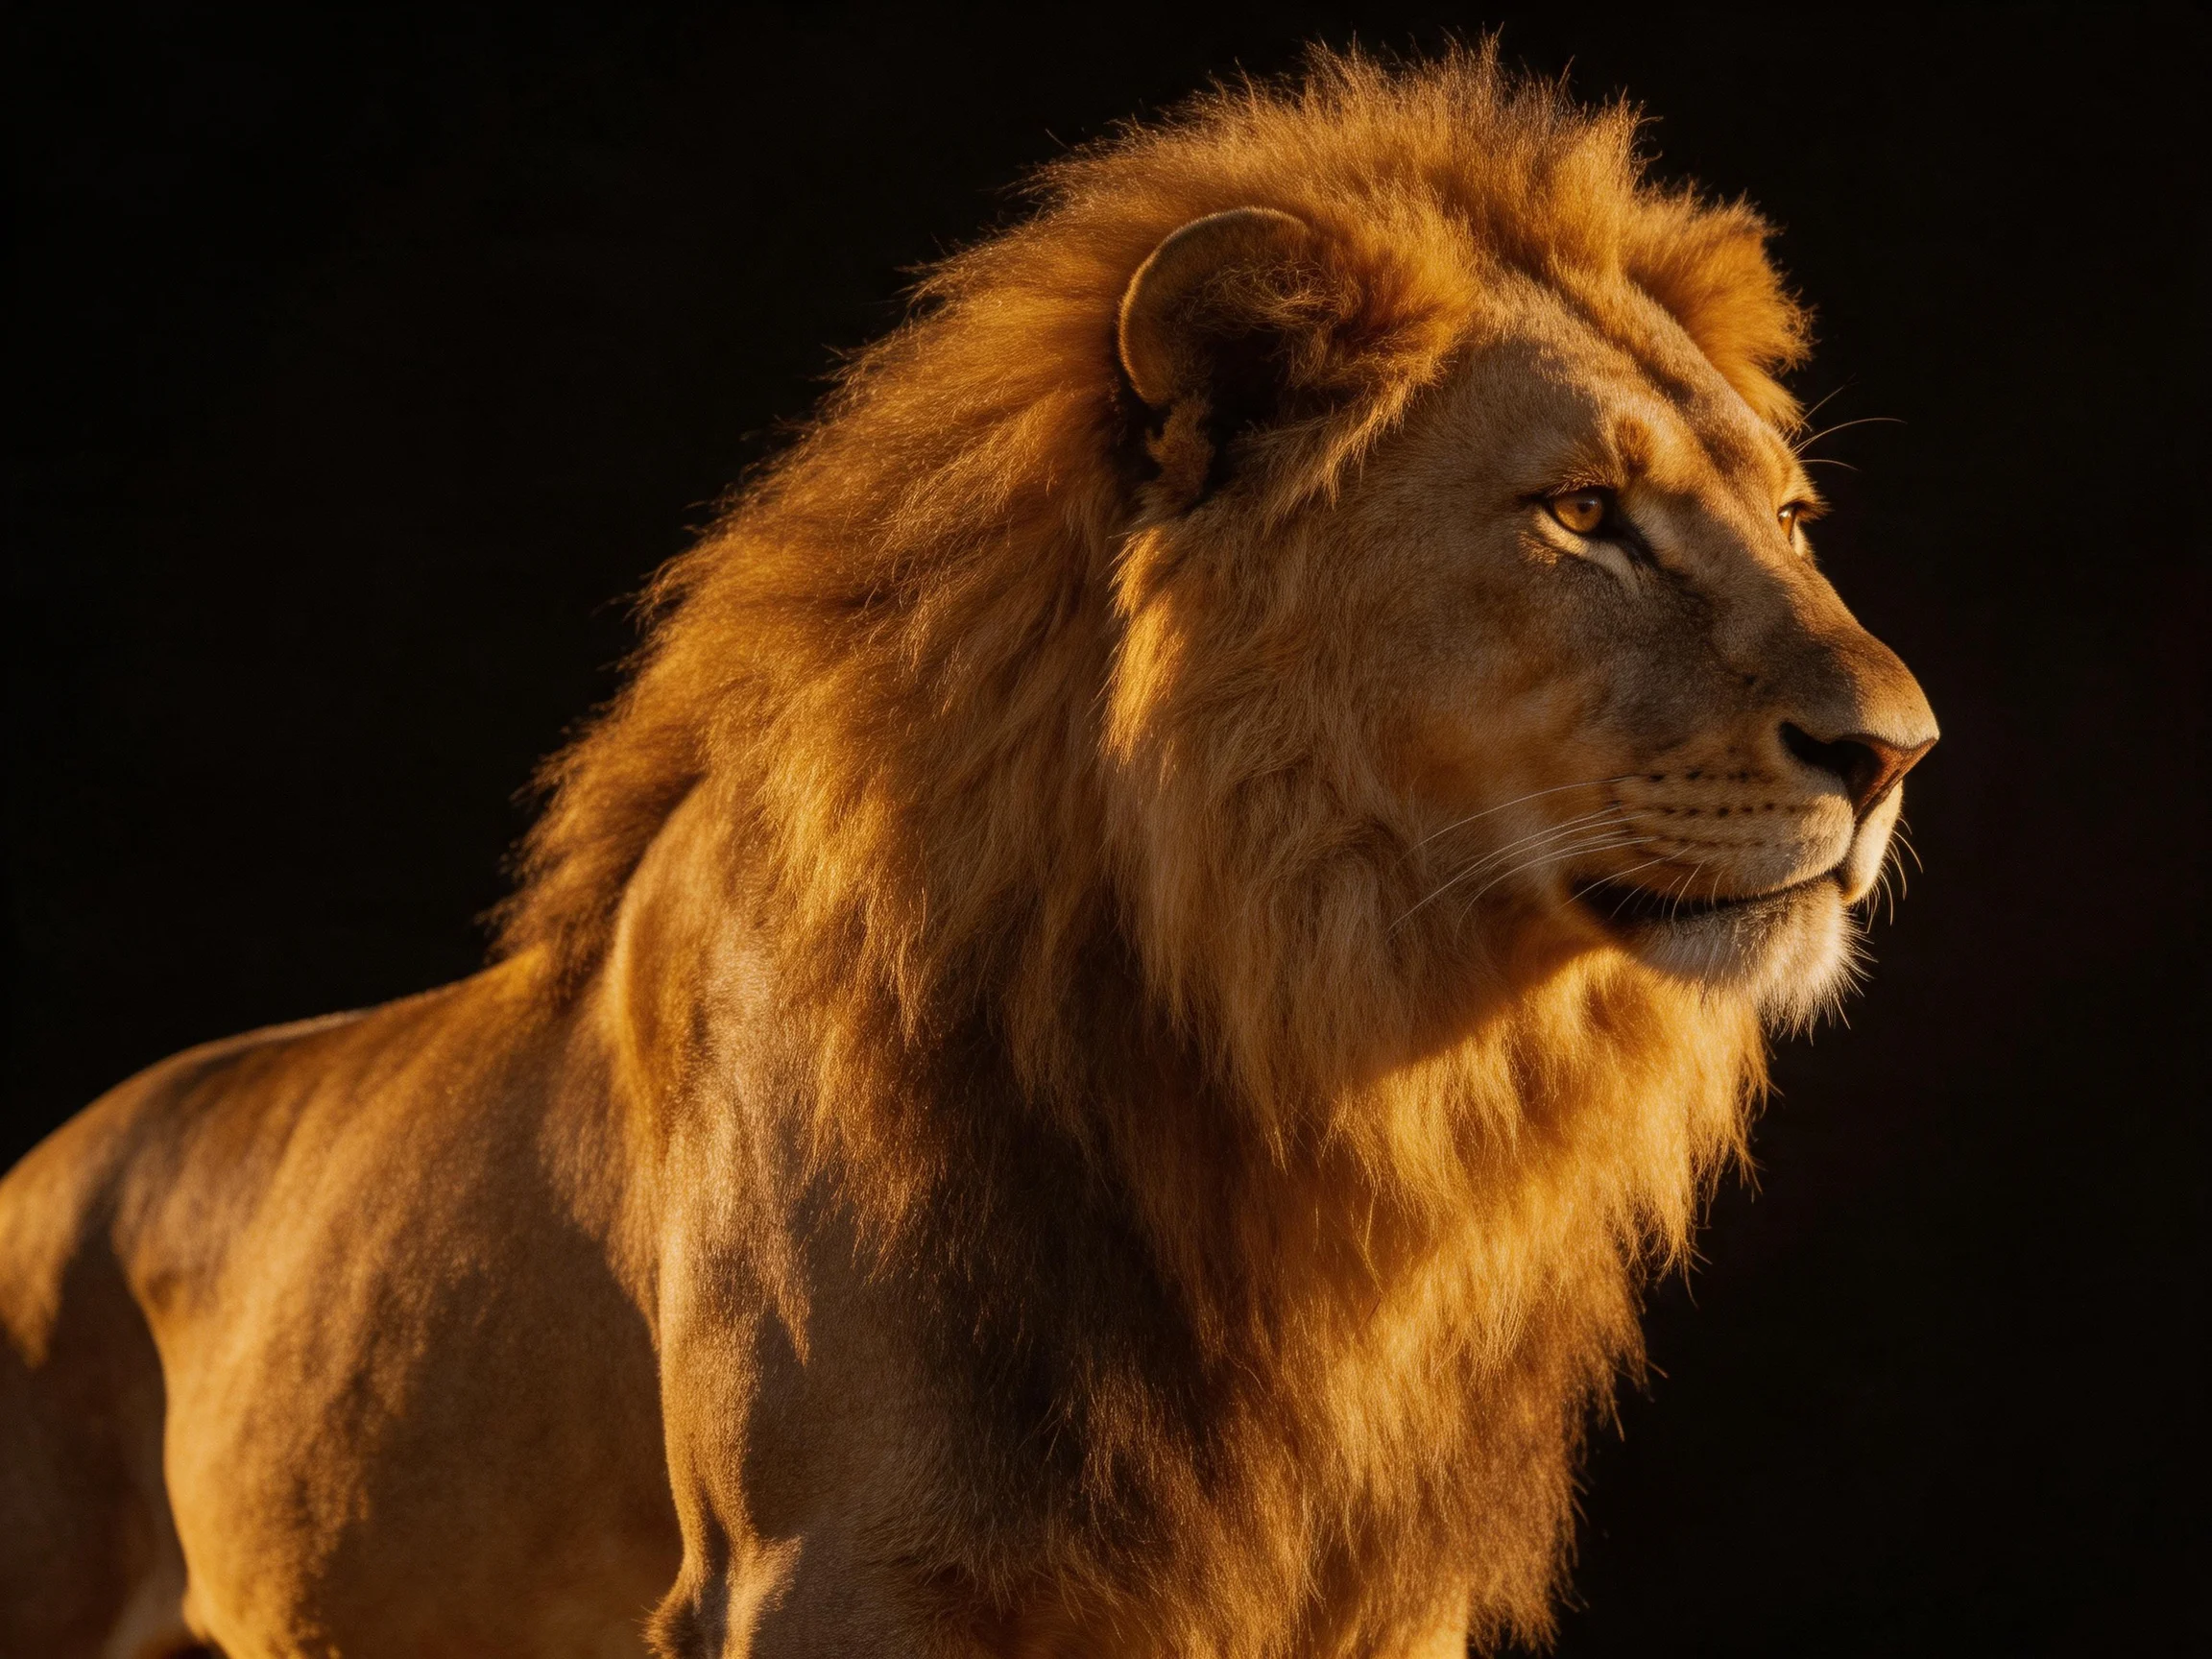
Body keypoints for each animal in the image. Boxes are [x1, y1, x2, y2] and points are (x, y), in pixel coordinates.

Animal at [1, 46, 1935, 1658]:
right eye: (1582, 512)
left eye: (1787, 514)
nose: (1896, 750)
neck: (1301, 1069)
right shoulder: (814, 1570)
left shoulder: (1369, 1595)